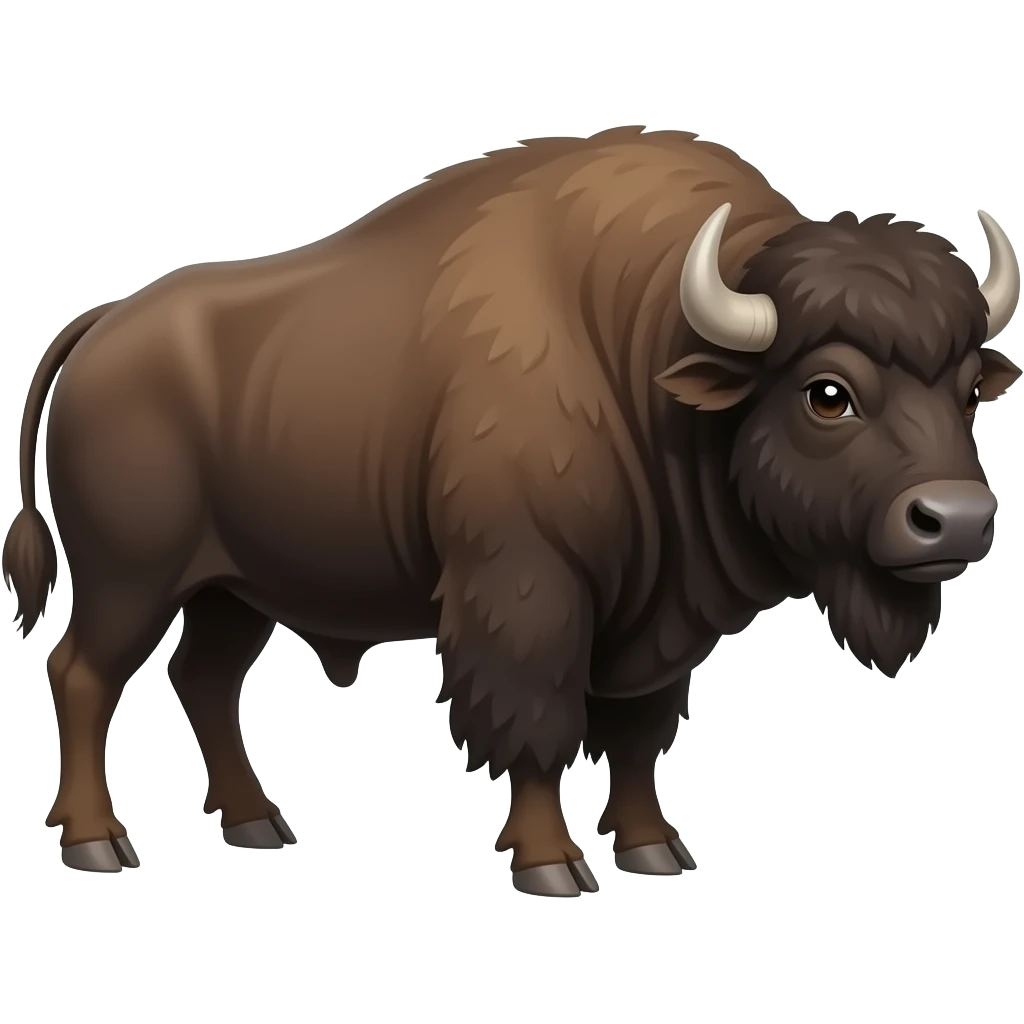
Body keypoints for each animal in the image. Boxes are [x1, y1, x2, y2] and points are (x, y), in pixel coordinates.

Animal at [5, 126, 1020, 896]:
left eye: (969, 388)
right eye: (826, 393)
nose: (958, 521)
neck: (643, 350)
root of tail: (102, 326)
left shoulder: (661, 623)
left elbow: (639, 734)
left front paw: (655, 851)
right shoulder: (529, 589)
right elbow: (539, 723)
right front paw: (550, 866)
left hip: (233, 589)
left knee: (204, 680)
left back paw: (260, 826)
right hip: (130, 579)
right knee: (83, 674)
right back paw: (98, 845)